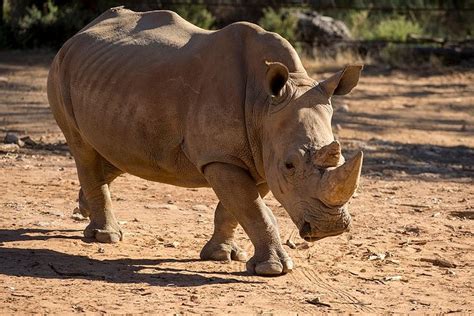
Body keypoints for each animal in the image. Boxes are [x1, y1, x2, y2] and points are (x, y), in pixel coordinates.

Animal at [47, 6, 362, 276]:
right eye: (289, 165)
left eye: (342, 157)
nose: (330, 227)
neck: (264, 104)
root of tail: (79, 33)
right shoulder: (223, 157)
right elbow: (253, 209)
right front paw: (273, 269)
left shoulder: (258, 154)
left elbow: (237, 208)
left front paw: (221, 255)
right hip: (60, 70)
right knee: (83, 148)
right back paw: (105, 237)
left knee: (117, 155)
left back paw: (85, 210)